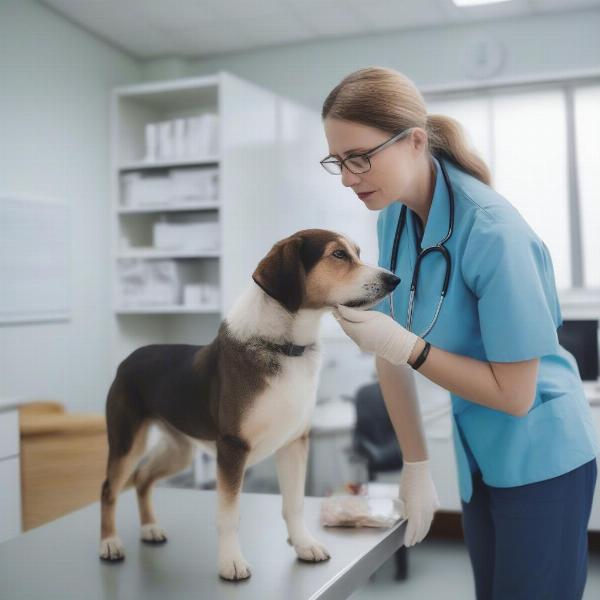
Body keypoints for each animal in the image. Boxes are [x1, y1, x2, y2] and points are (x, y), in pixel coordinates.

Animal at [98, 227, 398, 580]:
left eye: (358, 253)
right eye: (338, 255)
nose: (393, 278)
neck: (286, 347)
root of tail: (129, 358)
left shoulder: (295, 443)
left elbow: (294, 504)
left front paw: (303, 544)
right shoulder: (232, 448)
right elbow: (229, 515)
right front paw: (231, 562)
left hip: (179, 450)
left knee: (143, 479)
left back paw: (150, 529)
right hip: (127, 442)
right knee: (109, 488)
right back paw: (110, 544)